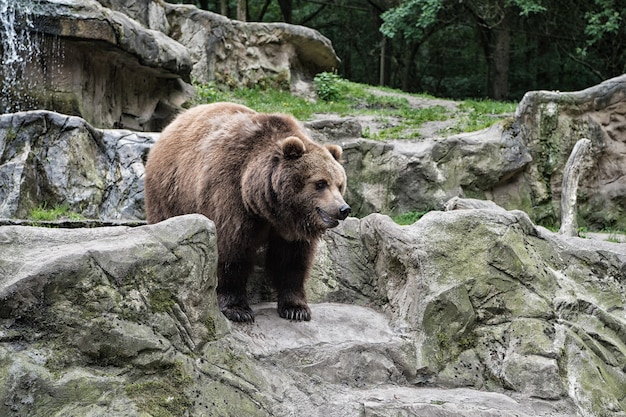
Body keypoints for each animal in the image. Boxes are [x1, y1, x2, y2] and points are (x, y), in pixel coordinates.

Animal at [144, 103, 352, 322]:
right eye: (321, 183)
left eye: (339, 184)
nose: (343, 209)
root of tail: (175, 121)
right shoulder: (231, 195)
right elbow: (232, 251)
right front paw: (238, 309)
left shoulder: (291, 227)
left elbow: (292, 259)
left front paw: (296, 308)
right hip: (170, 193)